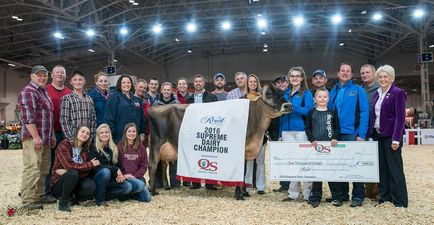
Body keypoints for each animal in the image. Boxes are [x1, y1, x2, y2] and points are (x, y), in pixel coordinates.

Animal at [147, 83, 294, 196]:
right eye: (268, 93)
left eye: (282, 92)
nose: (288, 105)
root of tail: (154, 108)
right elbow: (240, 172)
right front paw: (239, 195)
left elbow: (245, 172)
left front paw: (244, 192)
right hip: (156, 143)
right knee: (152, 165)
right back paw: (153, 192)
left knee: (163, 164)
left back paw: (163, 187)